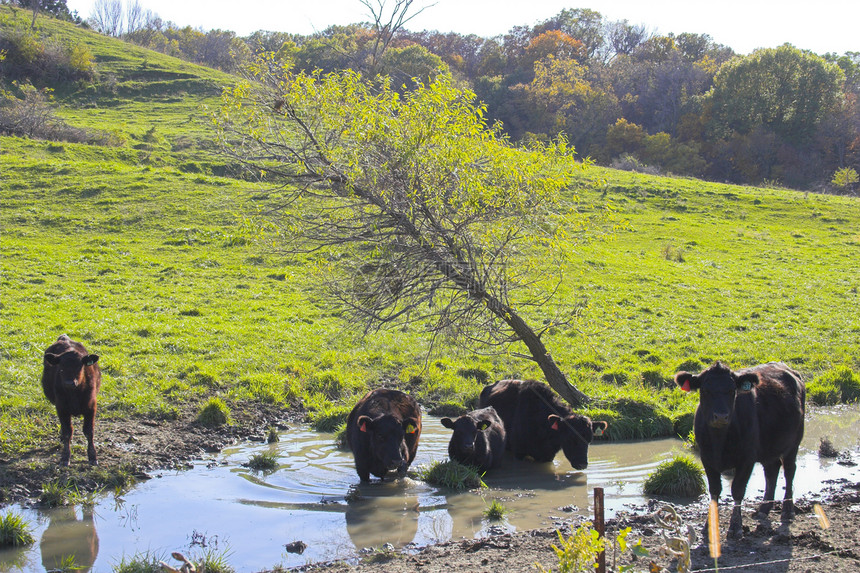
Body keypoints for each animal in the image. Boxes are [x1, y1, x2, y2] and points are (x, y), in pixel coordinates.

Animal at [41, 336, 102, 464]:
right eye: (61, 367)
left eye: (80, 366)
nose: (69, 383)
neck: (74, 394)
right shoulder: (61, 408)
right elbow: (67, 432)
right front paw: (65, 456)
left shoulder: (91, 407)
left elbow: (89, 431)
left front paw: (93, 456)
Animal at [680, 362, 808, 536]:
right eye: (705, 390)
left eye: (732, 390)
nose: (721, 416)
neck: (719, 440)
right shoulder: (707, 458)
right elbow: (714, 490)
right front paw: (709, 526)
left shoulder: (747, 459)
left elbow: (738, 490)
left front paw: (735, 526)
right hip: (769, 448)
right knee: (772, 471)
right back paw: (763, 509)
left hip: (794, 442)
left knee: (789, 471)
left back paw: (787, 511)